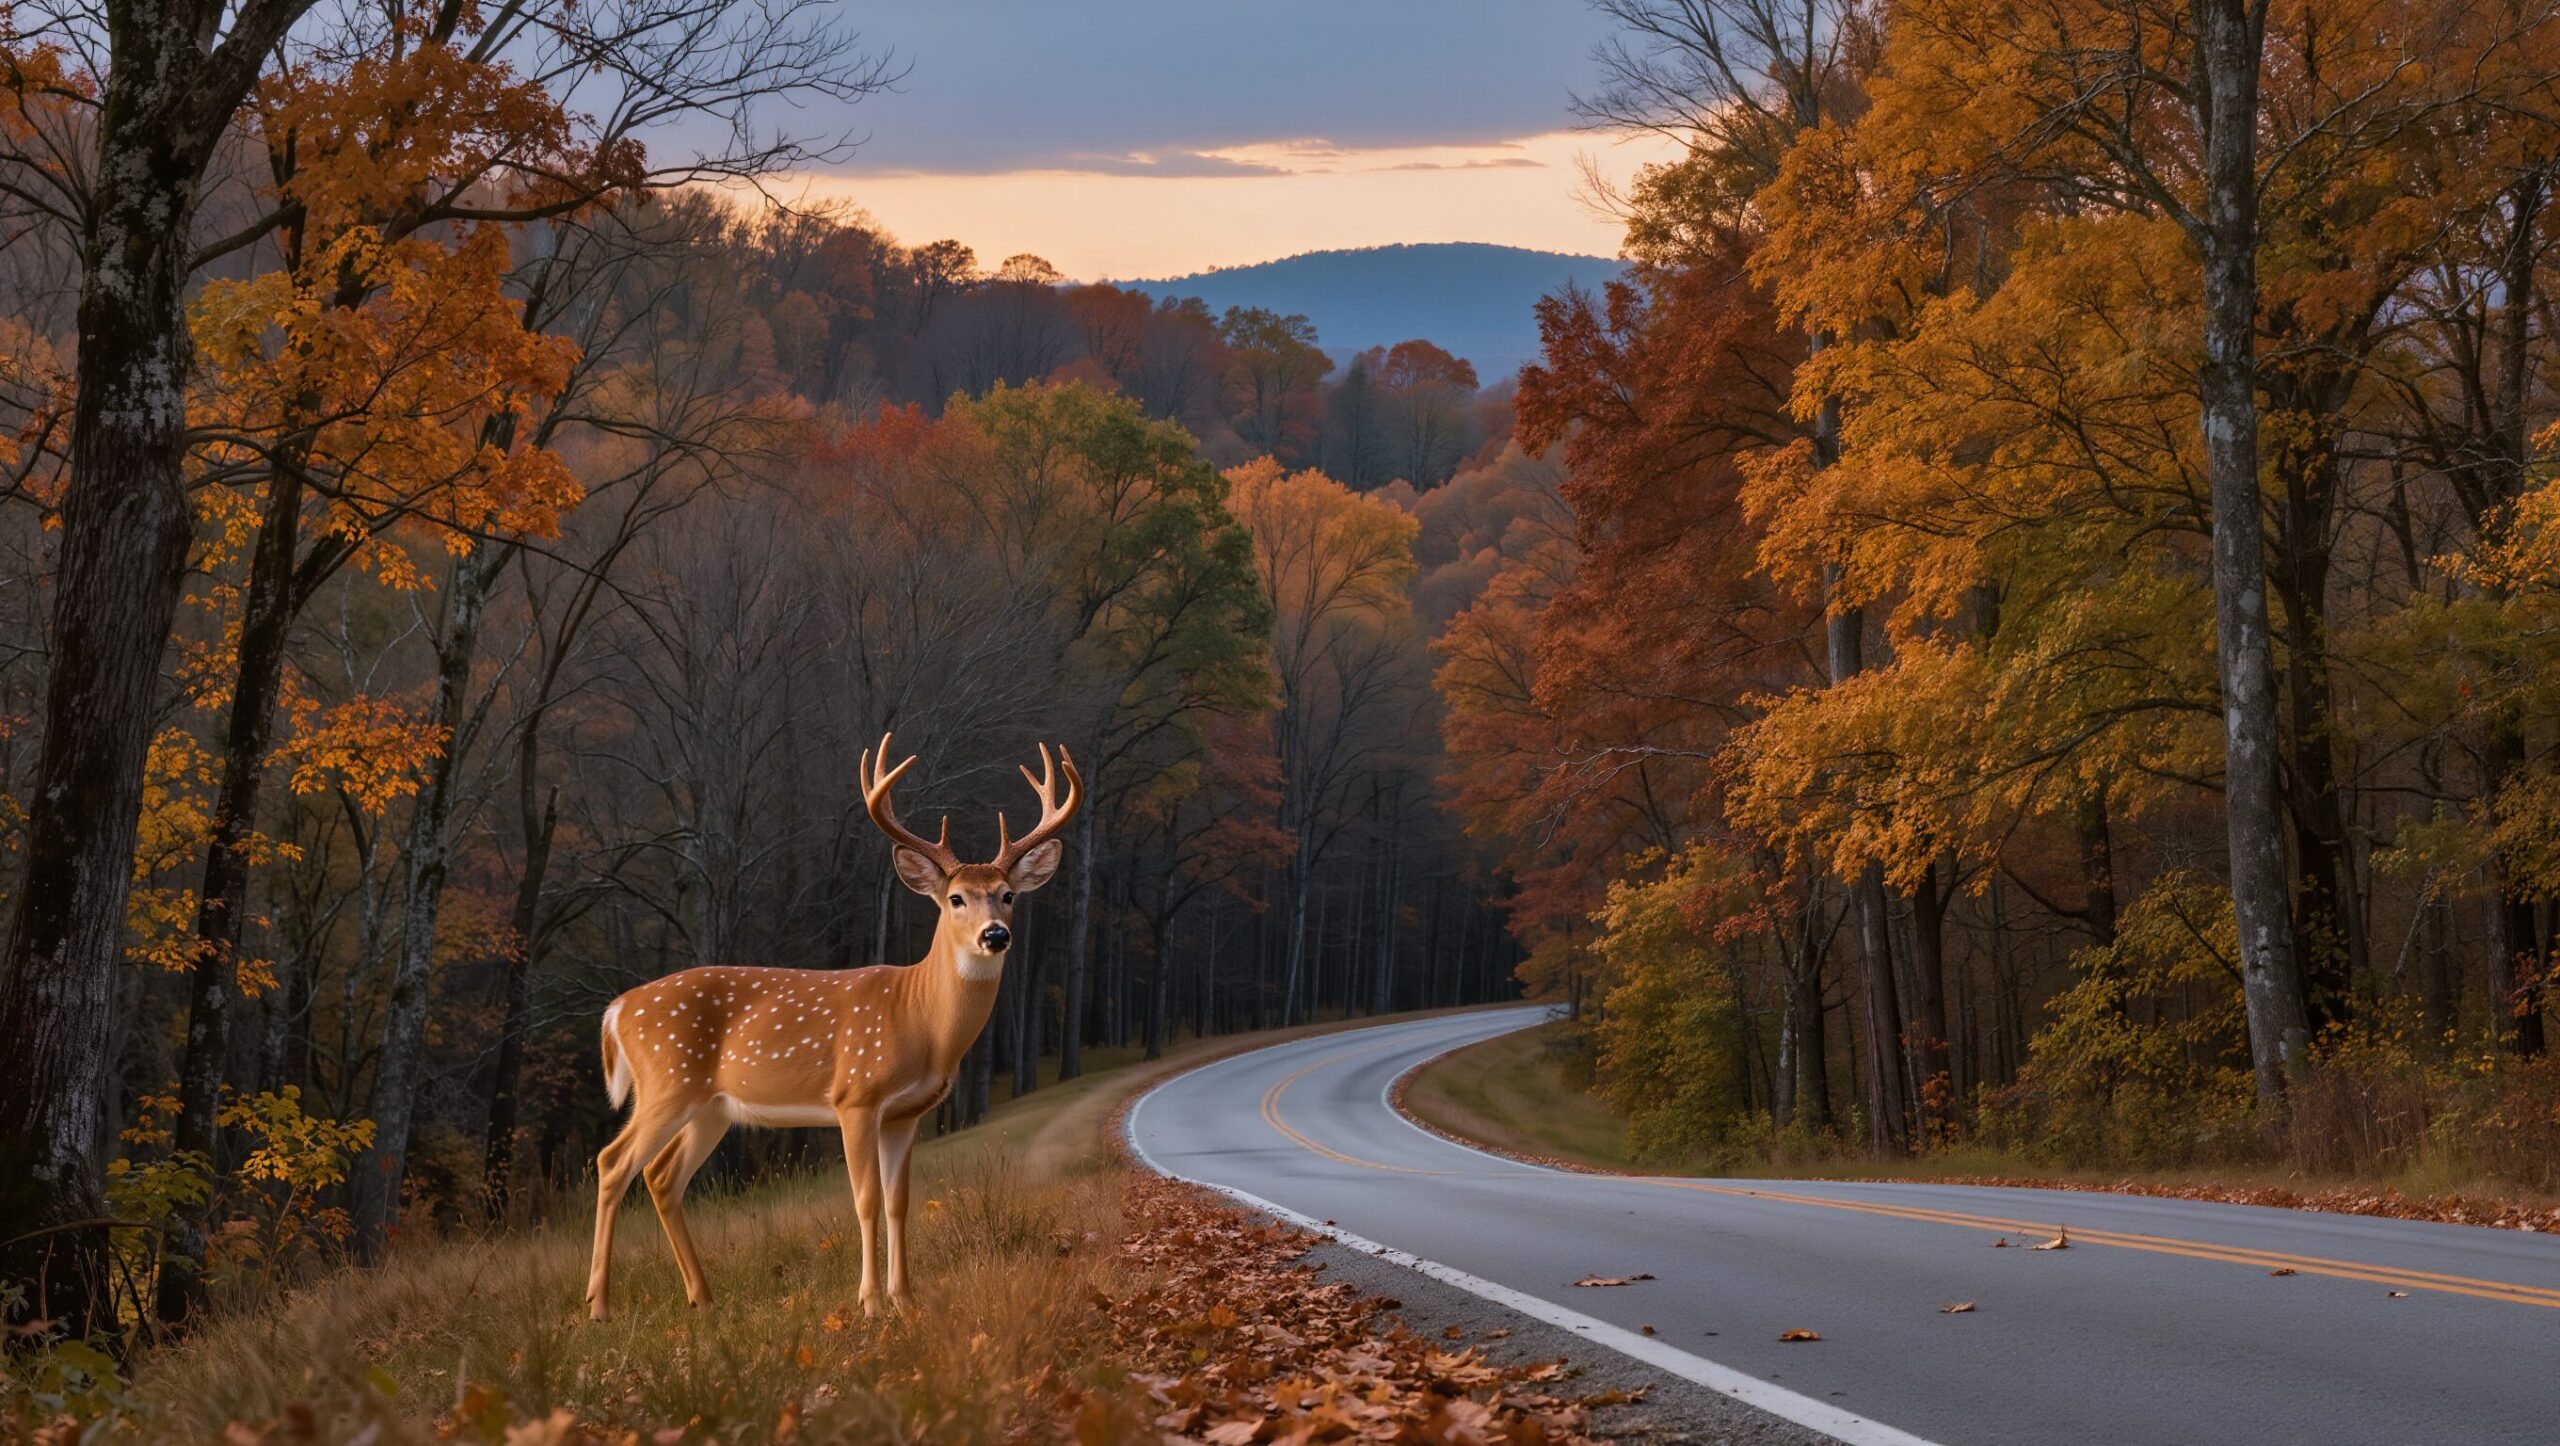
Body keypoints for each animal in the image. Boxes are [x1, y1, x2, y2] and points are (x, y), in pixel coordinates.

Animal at [584, 733, 1080, 1322]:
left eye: (1008, 895)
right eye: (956, 898)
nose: (995, 935)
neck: (920, 1020)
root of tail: (617, 1010)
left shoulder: (905, 1114)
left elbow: (899, 1202)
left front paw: (906, 1299)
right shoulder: (856, 1096)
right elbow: (865, 1200)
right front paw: (870, 1303)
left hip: (712, 1107)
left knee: (661, 1176)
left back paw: (702, 1298)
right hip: (668, 1082)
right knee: (613, 1162)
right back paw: (598, 1306)